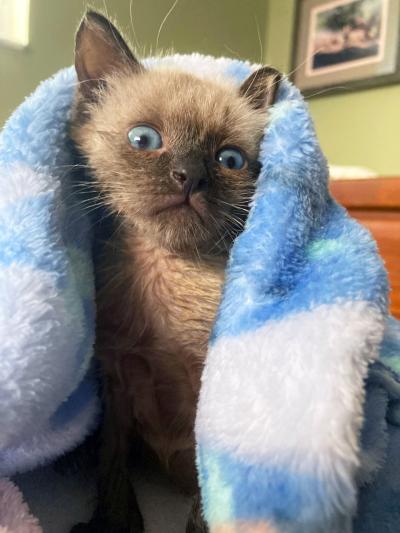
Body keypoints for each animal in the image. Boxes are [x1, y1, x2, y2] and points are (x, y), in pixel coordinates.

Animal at [69, 9, 282, 532]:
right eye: (144, 140)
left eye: (230, 160)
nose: (191, 177)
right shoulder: (115, 386)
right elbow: (111, 467)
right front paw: (112, 522)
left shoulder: (207, 398)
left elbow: (205, 498)